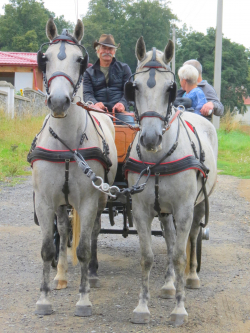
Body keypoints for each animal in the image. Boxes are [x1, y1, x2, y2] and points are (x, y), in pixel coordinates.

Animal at [30, 19, 117, 316]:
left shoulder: (89, 200)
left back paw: (92, 273)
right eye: (44, 59)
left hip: (99, 199)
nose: (58, 101)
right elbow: (47, 249)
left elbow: (83, 249)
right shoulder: (44, 200)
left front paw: (83, 300)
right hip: (62, 201)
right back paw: (61, 275)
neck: (67, 144)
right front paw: (44, 299)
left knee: (93, 233)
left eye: (80, 60)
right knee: (65, 230)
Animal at [124, 36, 218, 324]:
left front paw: (179, 309)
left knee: (193, 235)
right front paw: (142, 307)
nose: (150, 138)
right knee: (169, 238)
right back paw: (168, 284)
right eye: (134, 87)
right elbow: (148, 256)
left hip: (197, 205)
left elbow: (179, 255)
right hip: (163, 210)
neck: (159, 157)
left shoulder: (184, 209)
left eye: (170, 88)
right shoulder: (141, 209)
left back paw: (190, 277)